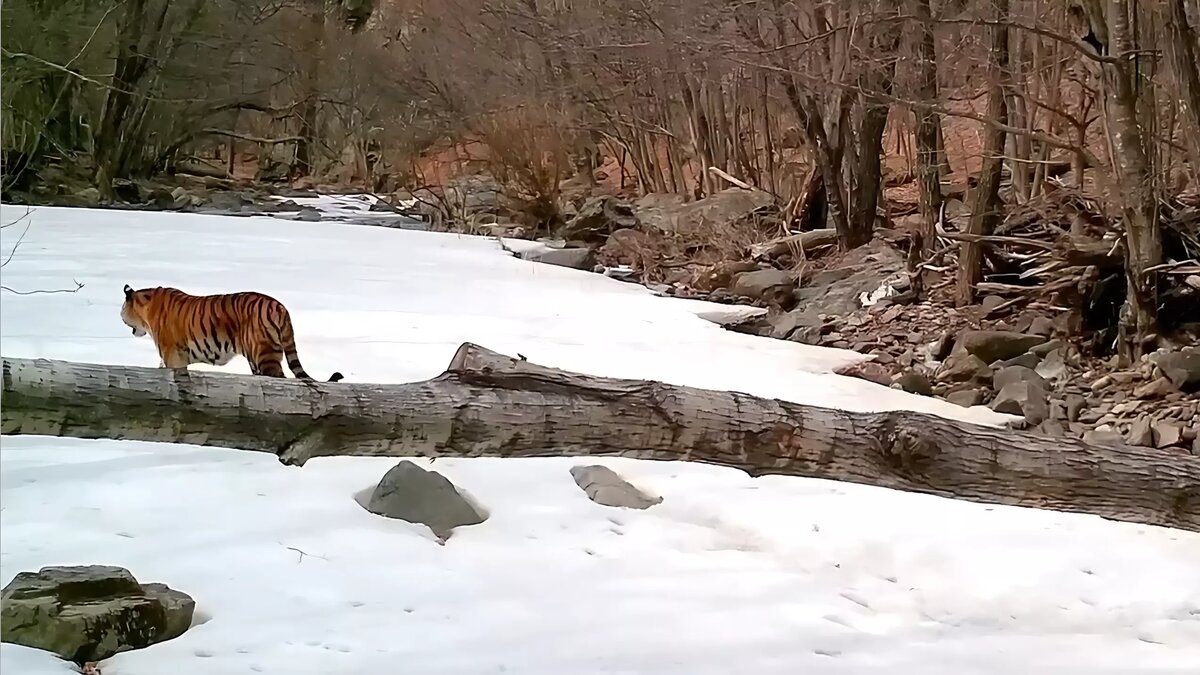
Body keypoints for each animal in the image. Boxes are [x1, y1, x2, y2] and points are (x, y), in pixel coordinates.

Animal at [120, 281, 343, 381]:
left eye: (122, 309)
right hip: (256, 359)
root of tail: (280, 306)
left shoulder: (172, 355)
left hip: (265, 355)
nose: (120, 316)